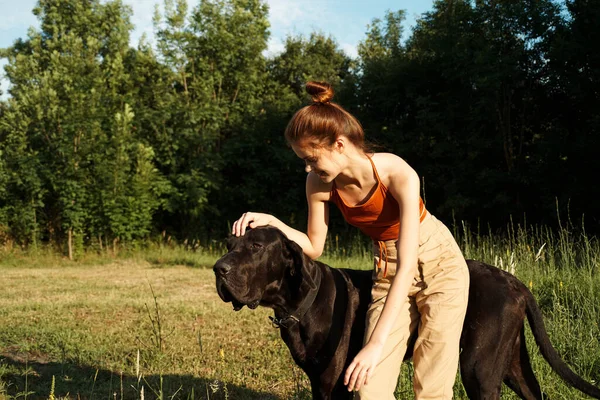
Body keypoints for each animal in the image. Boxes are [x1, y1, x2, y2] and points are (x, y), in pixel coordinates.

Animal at [213, 227, 596, 398]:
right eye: (229, 244)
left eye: (256, 246)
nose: (219, 269)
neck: (301, 301)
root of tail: (515, 282)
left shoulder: (331, 383)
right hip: (511, 363)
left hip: (479, 368)